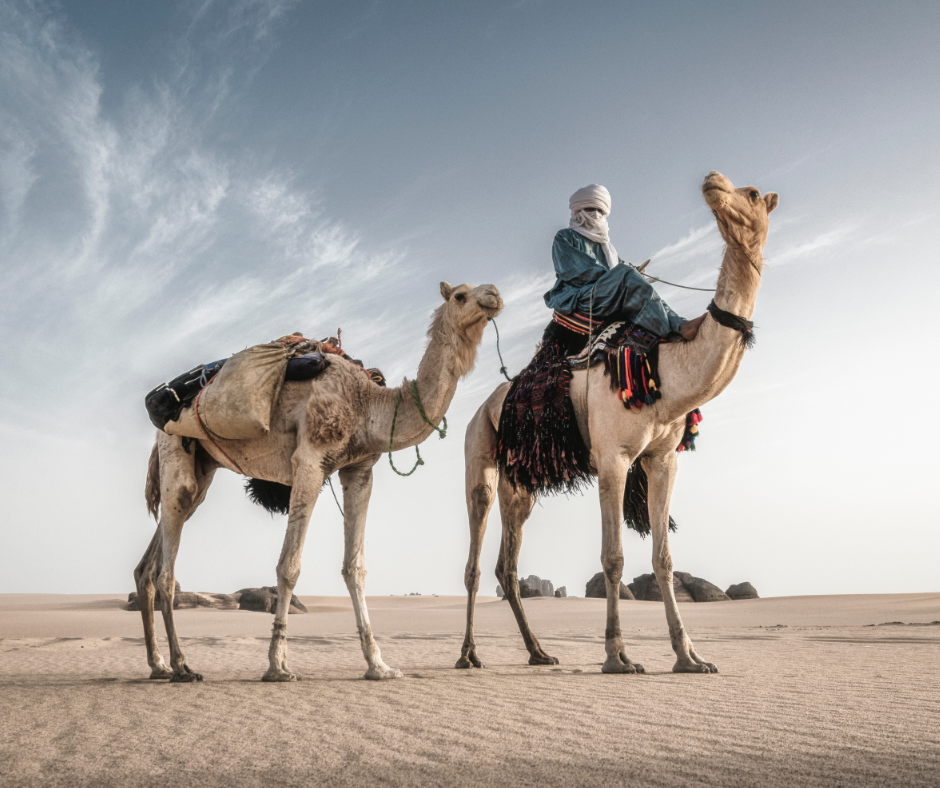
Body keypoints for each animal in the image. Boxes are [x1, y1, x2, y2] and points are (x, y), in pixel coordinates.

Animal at [136, 281, 503, 682]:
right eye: (461, 296)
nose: (494, 294)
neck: (368, 405)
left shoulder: (359, 470)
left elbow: (355, 567)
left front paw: (379, 665)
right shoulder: (310, 461)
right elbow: (289, 566)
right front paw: (278, 666)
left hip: (204, 467)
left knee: (150, 564)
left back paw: (158, 664)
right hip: (175, 449)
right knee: (166, 565)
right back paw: (182, 665)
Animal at [457, 172, 778, 674]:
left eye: (751, 194)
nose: (712, 181)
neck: (668, 367)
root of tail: (484, 406)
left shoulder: (662, 459)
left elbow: (663, 558)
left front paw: (690, 657)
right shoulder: (613, 458)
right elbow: (613, 557)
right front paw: (617, 656)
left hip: (521, 479)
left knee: (506, 565)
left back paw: (538, 652)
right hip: (479, 454)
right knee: (475, 553)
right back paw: (468, 654)